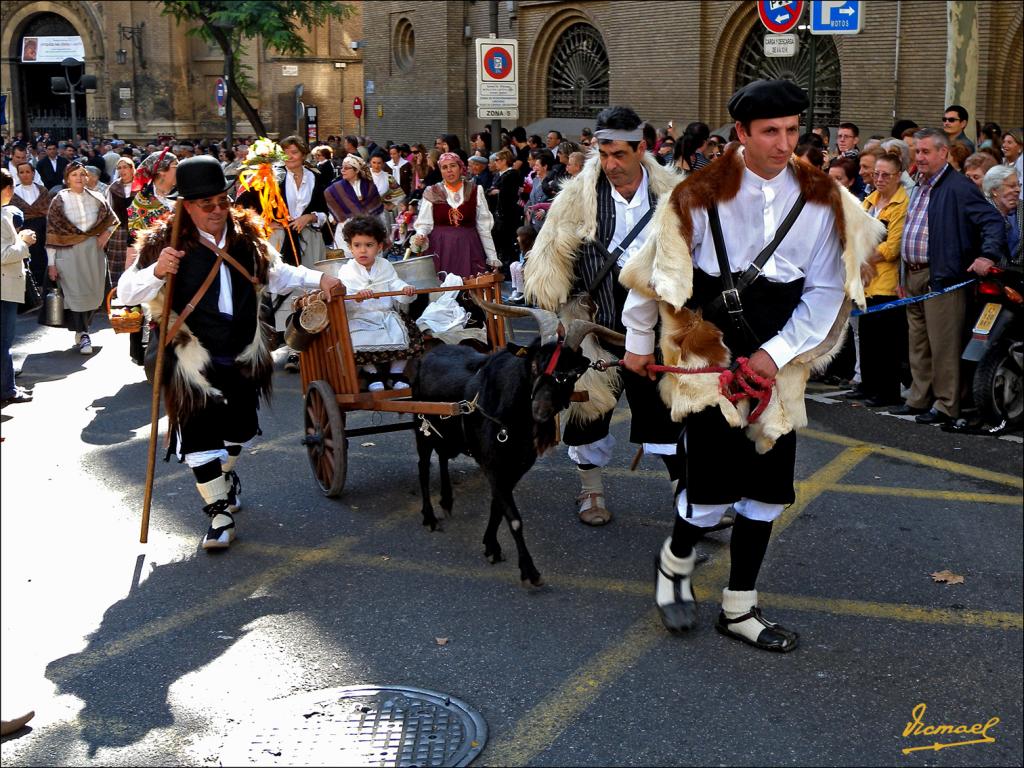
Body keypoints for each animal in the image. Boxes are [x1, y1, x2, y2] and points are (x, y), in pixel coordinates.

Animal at [407, 315, 614, 585]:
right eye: (535, 365)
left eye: (572, 374)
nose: (540, 409)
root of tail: (427, 354)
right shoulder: (493, 465)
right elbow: (513, 518)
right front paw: (529, 570)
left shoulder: (516, 467)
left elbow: (498, 507)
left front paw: (491, 546)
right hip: (422, 427)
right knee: (423, 466)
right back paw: (430, 517)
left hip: (447, 433)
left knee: (442, 456)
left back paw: (447, 499)